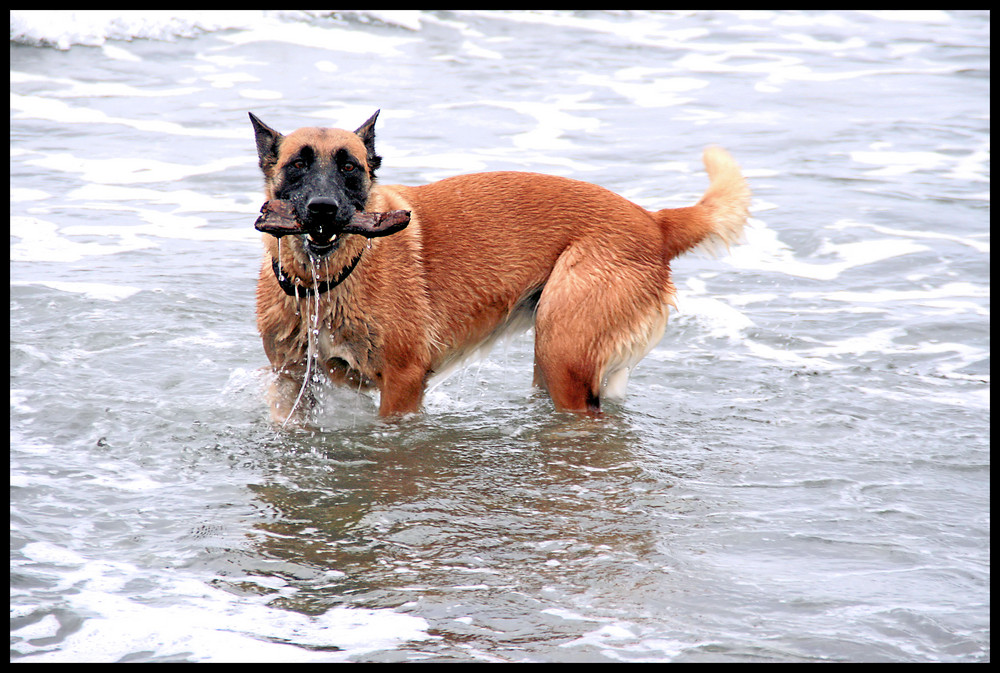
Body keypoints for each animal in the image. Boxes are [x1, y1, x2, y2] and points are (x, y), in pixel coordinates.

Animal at [250, 110, 752, 420]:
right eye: (298, 166)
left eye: (350, 168)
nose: (323, 209)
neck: (326, 284)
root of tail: (654, 221)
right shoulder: (291, 382)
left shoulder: (403, 384)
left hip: (562, 353)